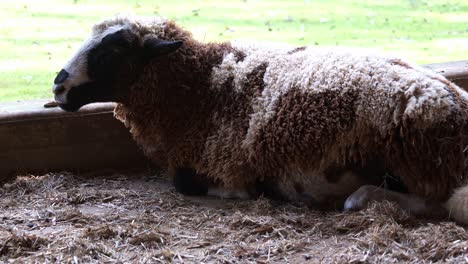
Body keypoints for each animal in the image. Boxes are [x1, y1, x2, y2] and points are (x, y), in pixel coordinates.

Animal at [53, 15, 468, 224]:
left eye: (114, 50)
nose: (58, 84)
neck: (201, 85)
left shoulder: (223, 160)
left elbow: (189, 185)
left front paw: (247, 191)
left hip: (416, 160)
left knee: (439, 203)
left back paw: (358, 198)